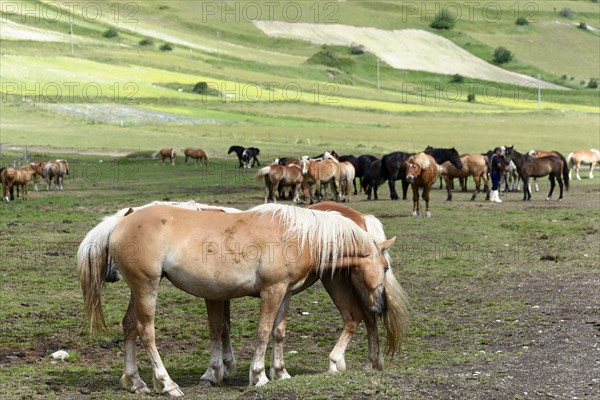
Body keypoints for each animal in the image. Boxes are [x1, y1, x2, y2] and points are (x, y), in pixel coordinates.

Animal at [78, 203, 394, 394]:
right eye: (386, 267)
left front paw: (280, 373)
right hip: (146, 286)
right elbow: (263, 331)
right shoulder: (272, 290)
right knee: (146, 331)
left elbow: (278, 331)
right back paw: (167, 384)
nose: (380, 306)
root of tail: (121, 222)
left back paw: (136, 382)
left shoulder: (285, 291)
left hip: (138, 288)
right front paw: (259, 376)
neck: (297, 234)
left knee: (130, 327)